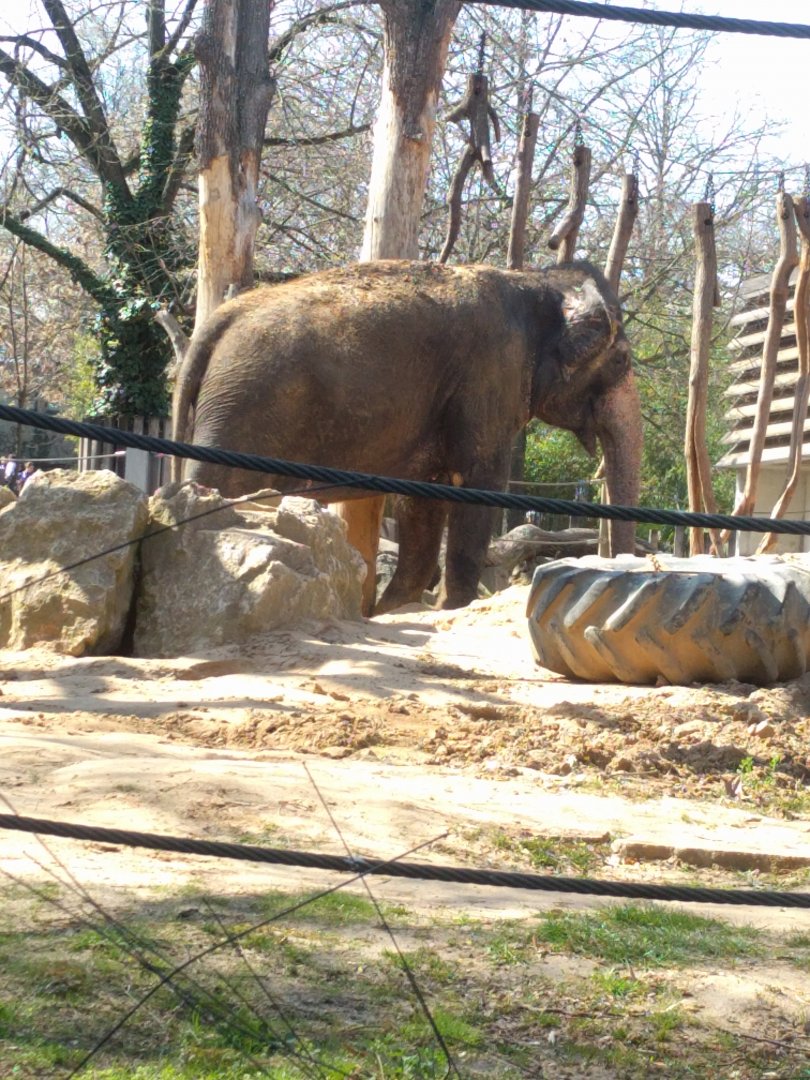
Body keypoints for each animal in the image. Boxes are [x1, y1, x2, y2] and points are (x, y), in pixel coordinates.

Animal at [172, 259, 642, 615]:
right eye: (621, 360)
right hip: (243, 410)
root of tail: (218, 322)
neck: (534, 280)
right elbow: (481, 481)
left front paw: (393, 610)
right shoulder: (491, 371)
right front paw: (452, 608)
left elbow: (426, 496)